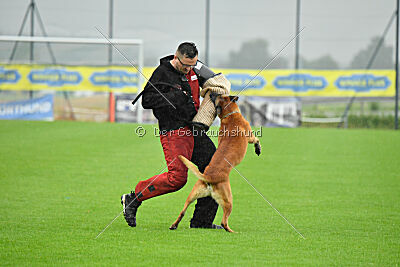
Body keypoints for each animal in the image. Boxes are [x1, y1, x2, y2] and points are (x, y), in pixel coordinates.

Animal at [170, 94, 260, 232]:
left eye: (217, 96)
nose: (211, 94)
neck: (229, 115)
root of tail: (209, 177)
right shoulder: (250, 136)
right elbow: (256, 139)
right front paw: (258, 149)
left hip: (192, 195)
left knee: (182, 211)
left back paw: (174, 225)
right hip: (228, 201)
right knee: (224, 222)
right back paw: (232, 231)